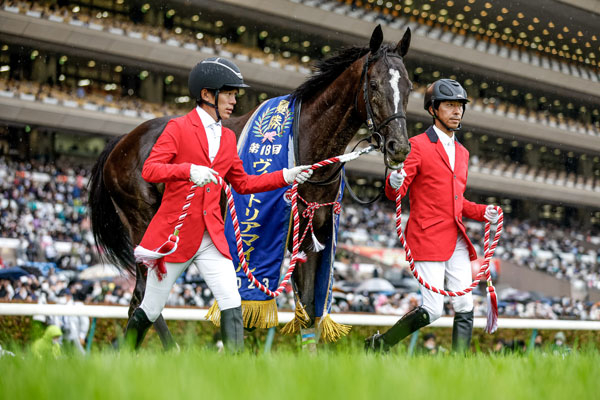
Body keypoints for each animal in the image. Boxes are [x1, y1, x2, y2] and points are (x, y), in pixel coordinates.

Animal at [88, 25, 412, 348]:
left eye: (408, 87)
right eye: (374, 85)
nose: (399, 147)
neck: (307, 141)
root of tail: (122, 142)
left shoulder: (315, 234)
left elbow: (309, 312)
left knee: (140, 301)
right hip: (147, 226)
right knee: (145, 299)